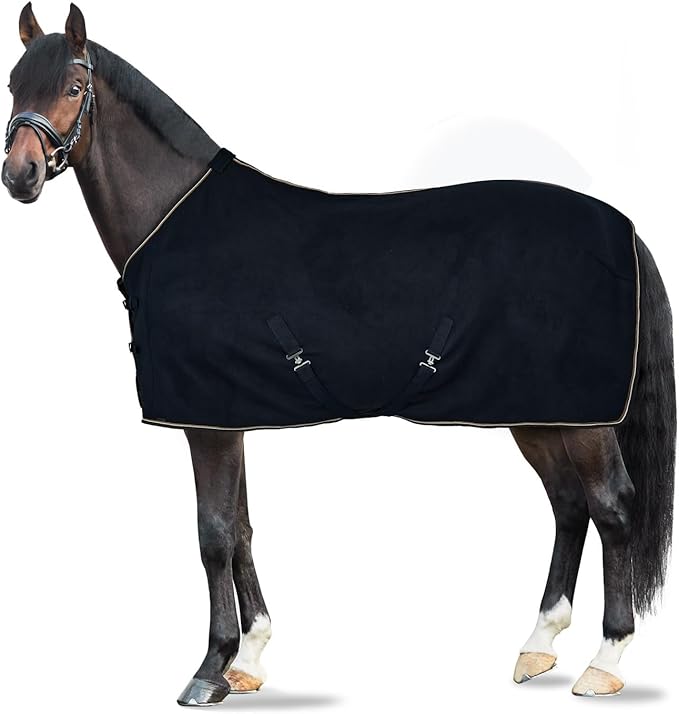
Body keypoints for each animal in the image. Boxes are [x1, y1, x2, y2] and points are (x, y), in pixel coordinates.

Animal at [3, 3, 675, 705]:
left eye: (72, 88)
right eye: (14, 86)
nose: (19, 175)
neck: (177, 219)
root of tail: (624, 229)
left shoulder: (206, 422)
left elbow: (213, 534)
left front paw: (210, 669)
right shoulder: (229, 416)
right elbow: (242, 528)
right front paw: (250, 659)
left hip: (584, 419)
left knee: (613, 508)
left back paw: (606, 661)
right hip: (537, 412)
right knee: (569, 506)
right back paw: (538, 645)